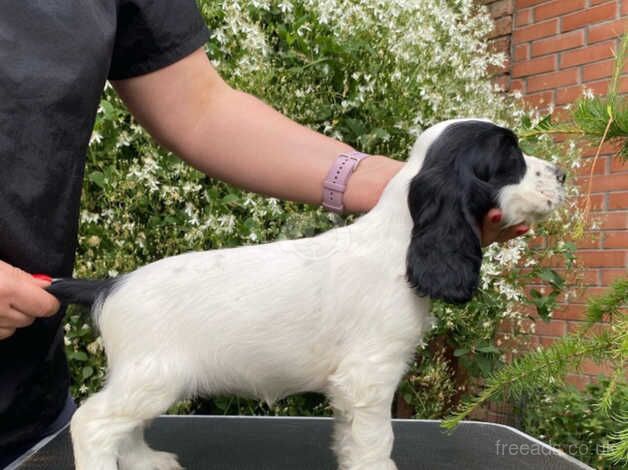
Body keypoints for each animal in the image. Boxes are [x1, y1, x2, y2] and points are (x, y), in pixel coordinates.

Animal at [49, 120, 568, 470]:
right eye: (511, 157)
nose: (561, 174)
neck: (398, 241)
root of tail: (111, 284)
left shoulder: (350, 387)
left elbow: (352, 439)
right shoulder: (370, 376)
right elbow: (377, 441)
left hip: (146, 378)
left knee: (125, 428)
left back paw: (147, 461)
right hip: (155, 375)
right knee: (93, 423)